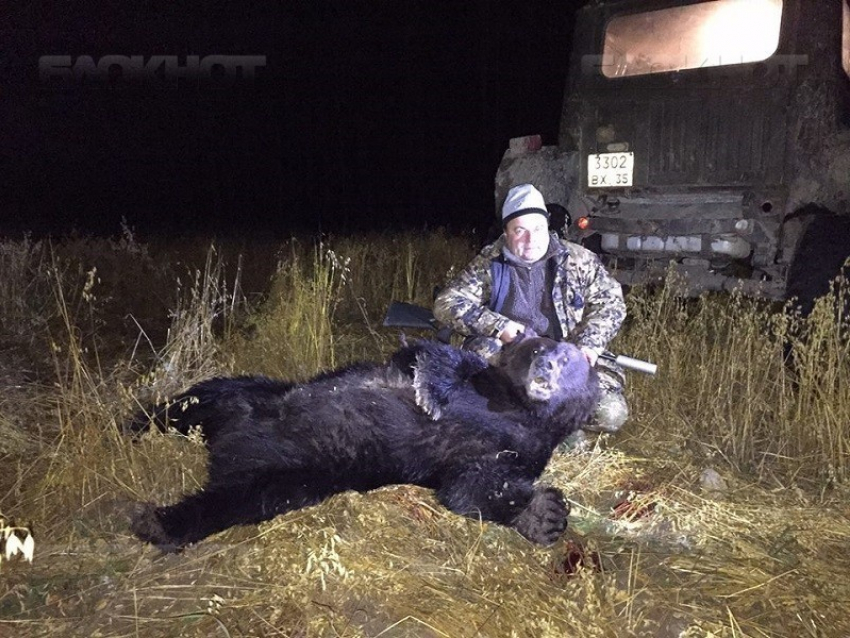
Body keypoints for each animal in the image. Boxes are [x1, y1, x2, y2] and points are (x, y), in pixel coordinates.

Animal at [129, 338, 600, 552]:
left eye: (568, 359)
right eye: (538, 347)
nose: (547, 364)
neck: (520, 409)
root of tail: (230, 435)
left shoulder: (513, 449)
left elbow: (472, 483)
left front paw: (545, 513)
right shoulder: (482, 380)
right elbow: (434, 355)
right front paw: (431, 390)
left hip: (291, 472)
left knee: (239, 497)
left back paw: (160, 522)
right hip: (260, 392)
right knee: (203, 395)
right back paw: (137, 422)